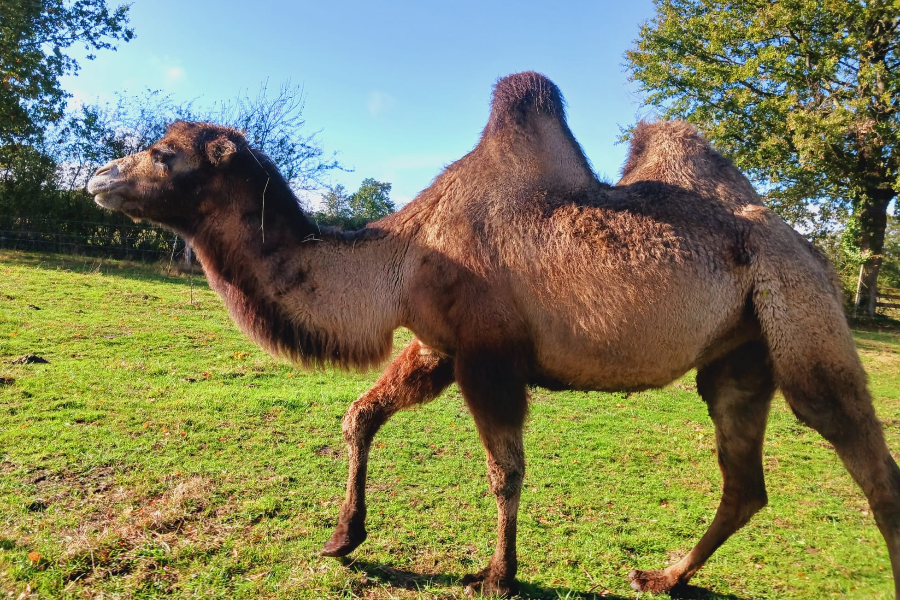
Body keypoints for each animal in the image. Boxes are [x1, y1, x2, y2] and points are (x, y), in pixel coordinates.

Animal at [86, 70, 900, 596]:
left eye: (163, 152)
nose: (97, 177)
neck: (402, 254)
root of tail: (811, 251)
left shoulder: (488, 356)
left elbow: (505, 469)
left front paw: (498, 576)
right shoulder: (437, 345)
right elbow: (361, 415)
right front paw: (344, 538)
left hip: (802, 318)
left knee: (868, 462)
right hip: (739, 357)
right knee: (744, 482)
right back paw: (660, 575)